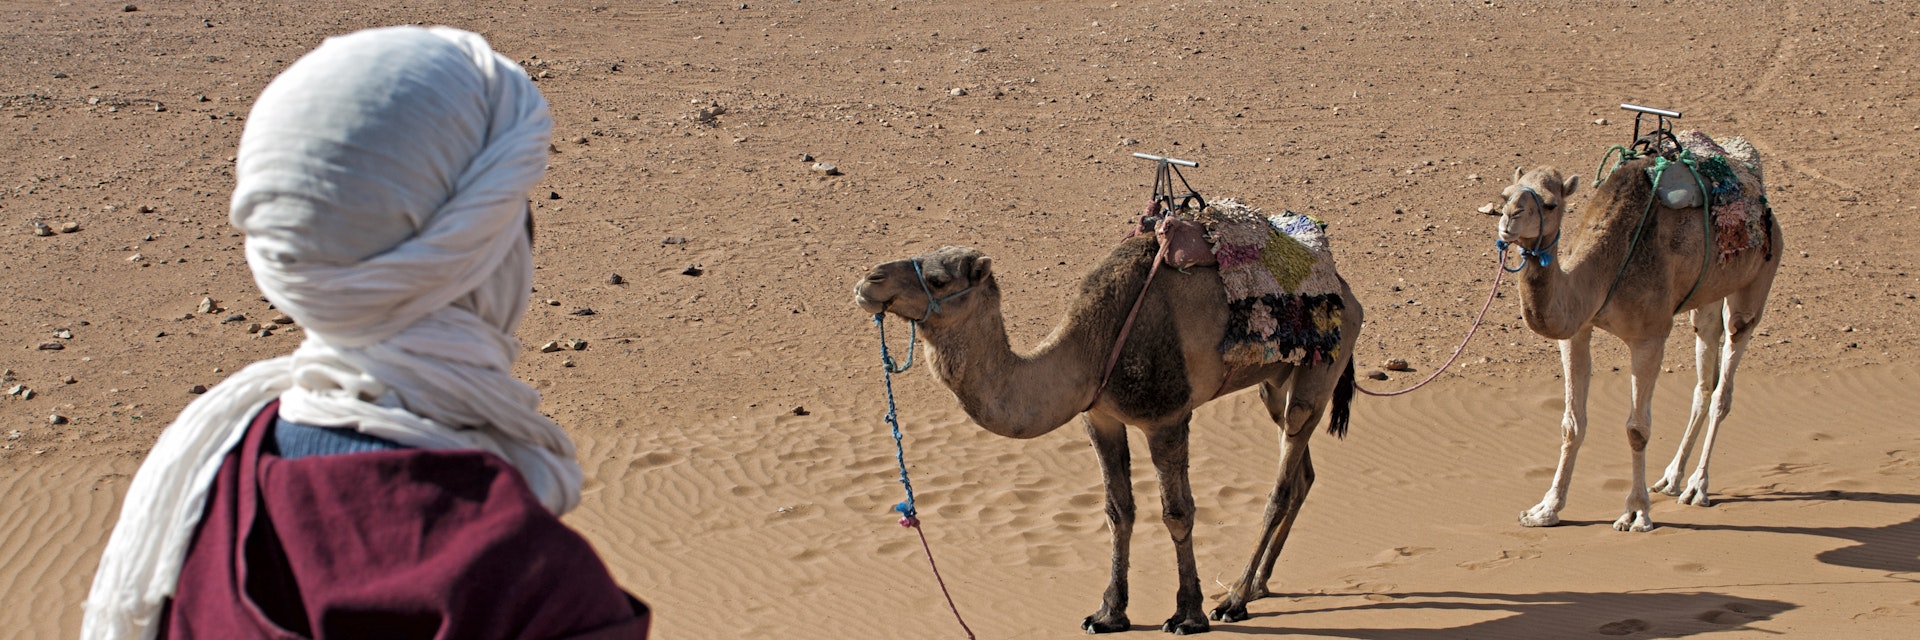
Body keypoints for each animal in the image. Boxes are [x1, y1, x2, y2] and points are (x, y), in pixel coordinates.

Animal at [856, 235, 1367, 634]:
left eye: (939, 278)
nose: (868, 281)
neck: (1090, 350)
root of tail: (1346, 290)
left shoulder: (1166, 416)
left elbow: (1178, 513)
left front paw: (1187, 614)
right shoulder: (1099, 416)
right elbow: (1117, 512)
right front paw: (1107, 613)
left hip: (1322, 368)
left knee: (1283, 480)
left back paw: (1236, 599)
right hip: (1274, 381)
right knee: (1301, 474)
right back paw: (1260, 584)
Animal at [1482, 155, 1781, 534]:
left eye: (1550, 203)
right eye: (1505, 194)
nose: (1509, 218)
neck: (1604, 268)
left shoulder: (1649, 336)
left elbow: (1637, 429)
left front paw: (1636, 513)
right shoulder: (1576, 331)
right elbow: (1571, 424)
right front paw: (1544, 510)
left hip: (1757, 281)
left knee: (1726, 379)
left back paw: (1698, 487)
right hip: (1707, 297)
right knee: (1704, 380)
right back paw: (1672, 479)